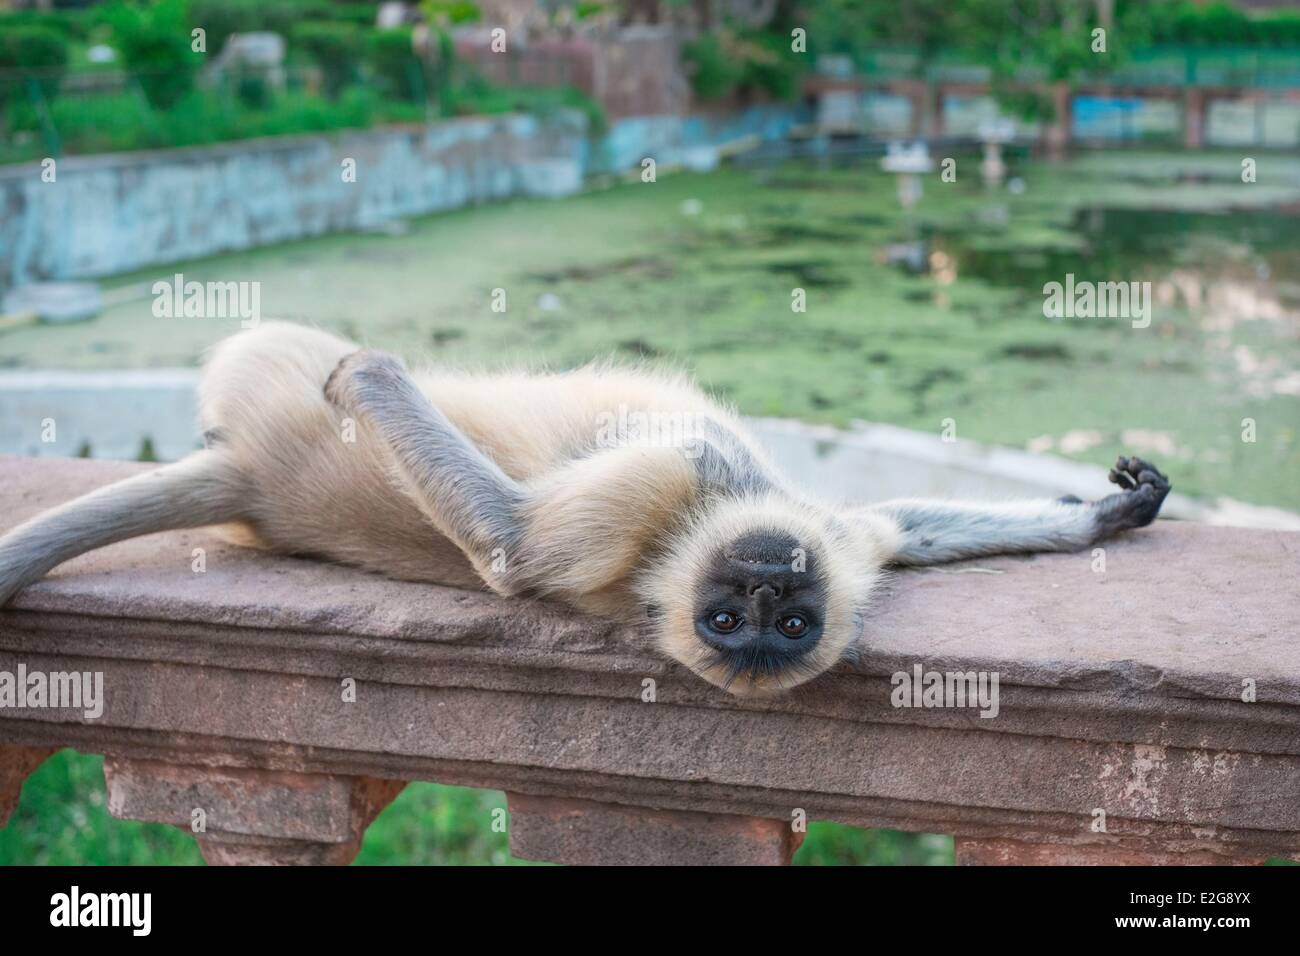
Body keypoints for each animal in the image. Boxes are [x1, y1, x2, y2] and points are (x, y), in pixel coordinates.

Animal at [0, 322, 1171, 697]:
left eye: (781, 625)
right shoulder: (802, 529)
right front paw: (1107, 516)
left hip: (265, 368)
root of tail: (249, 476)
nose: (764, 585)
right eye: (733, 614)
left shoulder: (716, 525)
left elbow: (516, 549)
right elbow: (895, 522)